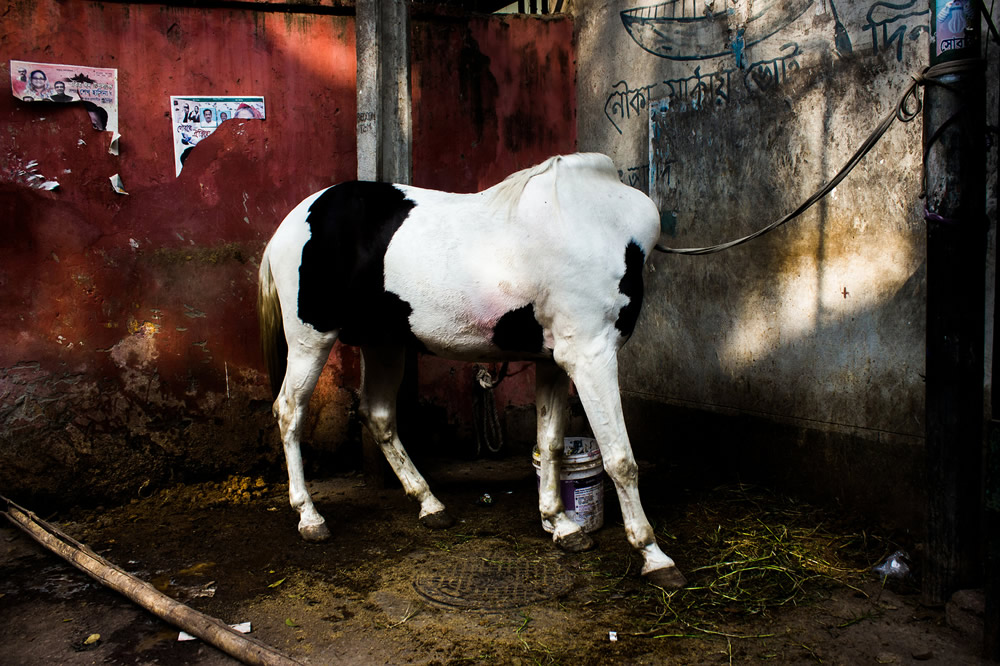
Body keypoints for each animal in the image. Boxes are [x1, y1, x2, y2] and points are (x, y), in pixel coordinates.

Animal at [256, 154, 688, 588]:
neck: (601, 218)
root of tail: (292, 221)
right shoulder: (590, 356)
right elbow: (621, 459)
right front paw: (654, 555)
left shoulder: (552, 362)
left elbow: (550, 443)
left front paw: (561, 525)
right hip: (310, 339)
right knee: (290, 412)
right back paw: (310, 517)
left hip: (384, 344)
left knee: (377, 416)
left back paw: (430, 504)